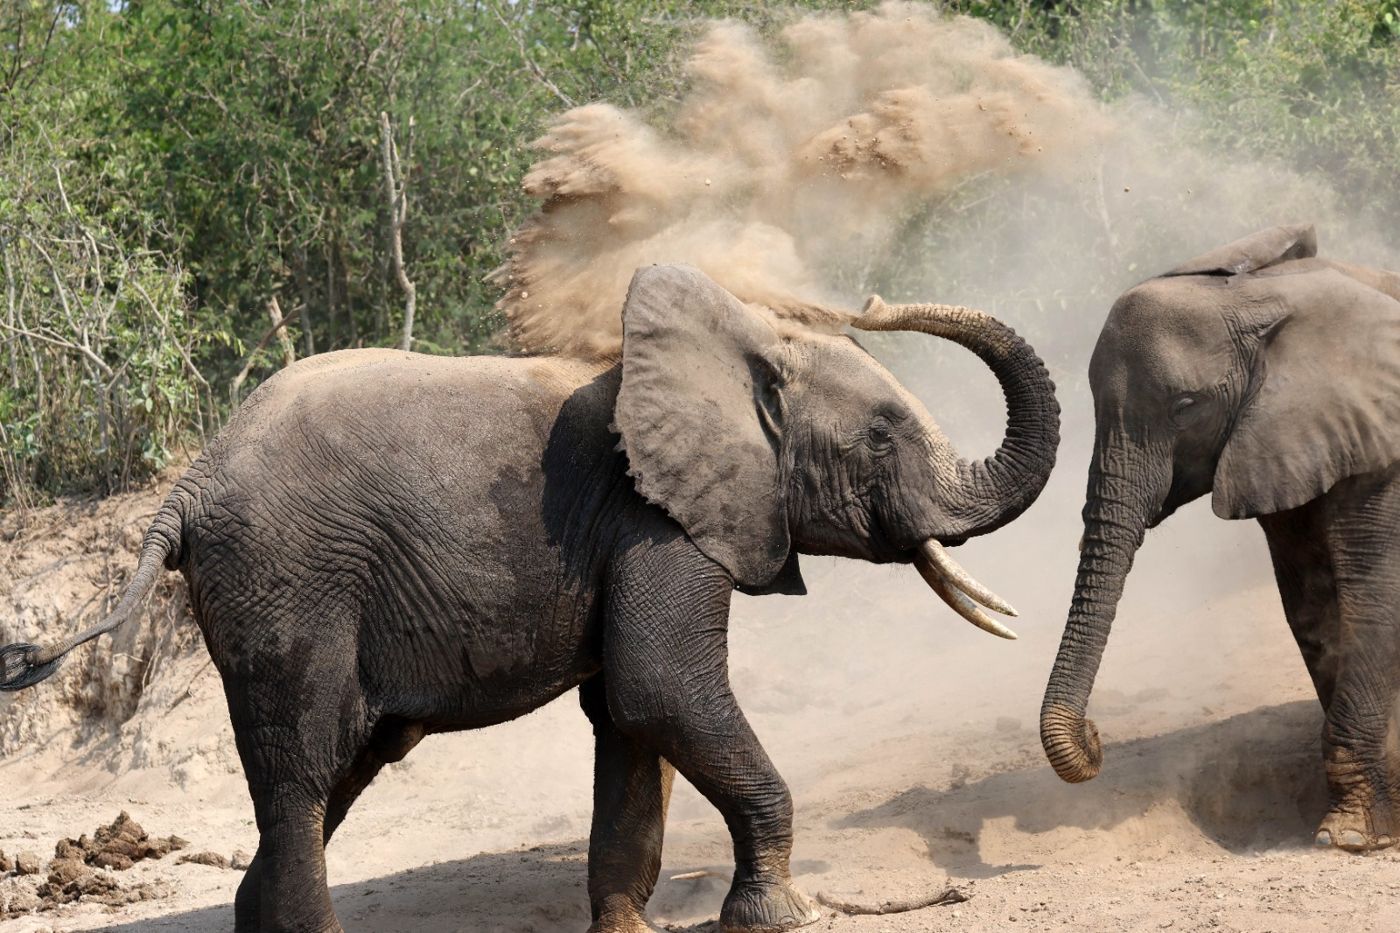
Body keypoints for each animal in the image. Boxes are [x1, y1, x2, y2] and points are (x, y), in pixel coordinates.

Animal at [0, 265, 1058, 933]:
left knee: (330, 772)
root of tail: (187, 486)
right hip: (287, 578)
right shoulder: (654, 521)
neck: (735, 348)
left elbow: (629, 718)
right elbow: (659, 689)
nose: (870, 300)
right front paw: (782, 917)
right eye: (882, 437)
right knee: (303, 770)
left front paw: (627, 930)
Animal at [1039, 223, 1400, 852]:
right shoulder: (1279, 440)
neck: (1262, 298)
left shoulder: (1379, 442)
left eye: (1186, 407)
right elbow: (1310, 606)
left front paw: (1351, 838)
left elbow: (1374, 600)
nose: (1095, 733)